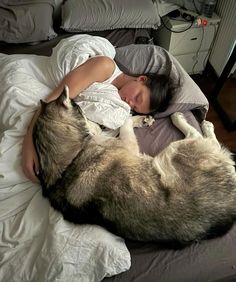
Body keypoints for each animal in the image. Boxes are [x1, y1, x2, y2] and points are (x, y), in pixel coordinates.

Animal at [32, 85, 236, 245]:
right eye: (81, 110)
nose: (99, 123)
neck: (69, 162)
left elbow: (118, 127)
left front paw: (137, 119)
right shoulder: (129, 144)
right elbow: (124, 125)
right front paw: (134, 119)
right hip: (178, 148)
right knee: (200, 136)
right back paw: (188, 120)